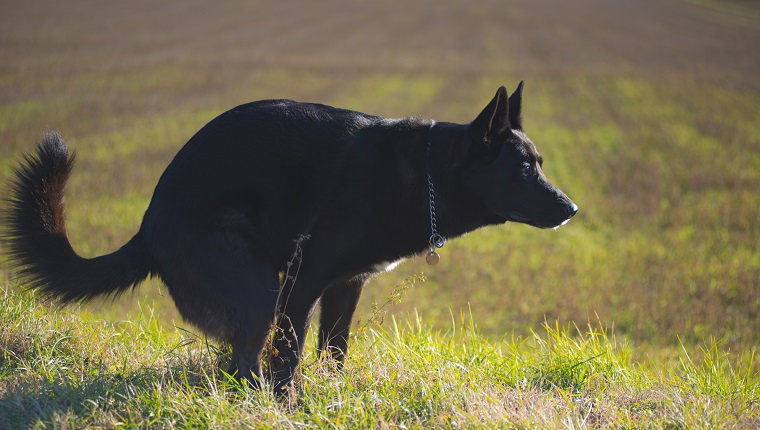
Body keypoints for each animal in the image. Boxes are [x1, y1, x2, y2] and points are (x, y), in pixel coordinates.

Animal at [2, 82, 576, 394]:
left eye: (541, 163)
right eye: (524, 169)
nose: (571, 210)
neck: (428, 172)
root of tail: (147, 227)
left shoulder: (346, 287)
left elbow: (334, 352)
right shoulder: (304, 281)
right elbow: (290, 356)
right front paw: (290, 405)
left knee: (237, 362)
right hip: (257, 287)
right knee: (244, 363)